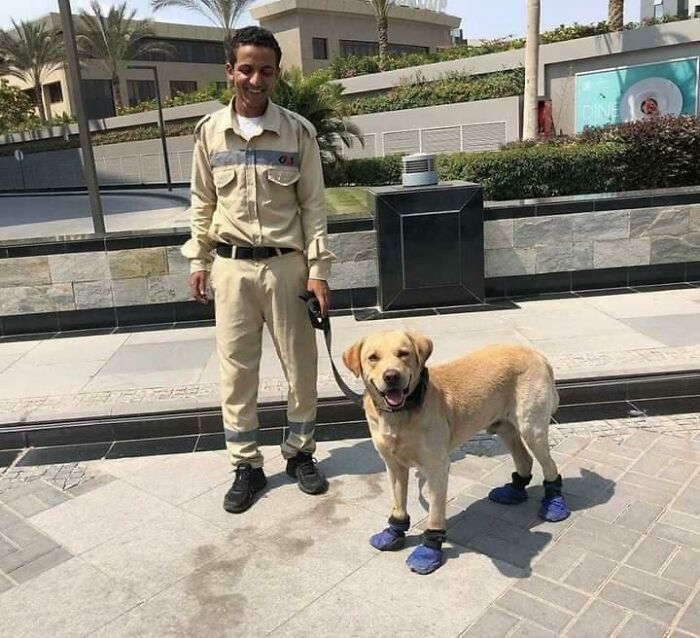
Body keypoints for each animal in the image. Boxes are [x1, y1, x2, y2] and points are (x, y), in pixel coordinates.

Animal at [344, 332, 568, 576]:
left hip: (532, 429)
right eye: (373, 357)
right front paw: (394, 531)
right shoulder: (393, 465)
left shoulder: (437, 468)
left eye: (404, 353)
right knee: (525, 459)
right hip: (503, 426)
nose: (392, 376)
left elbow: (434, 515)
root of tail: (536, 353)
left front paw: (429, 550)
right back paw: (514, 490)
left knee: (550, 466)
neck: (401, 414)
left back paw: (554, 503)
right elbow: (398, 503)